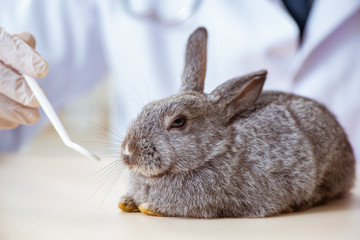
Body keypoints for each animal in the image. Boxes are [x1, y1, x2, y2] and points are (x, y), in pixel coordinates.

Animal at [117, 27, 354, 218]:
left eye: (179, 122)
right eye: (145, 108)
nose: (128, 152)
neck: (216, 150)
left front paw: (148, 207)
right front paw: (126, 202)